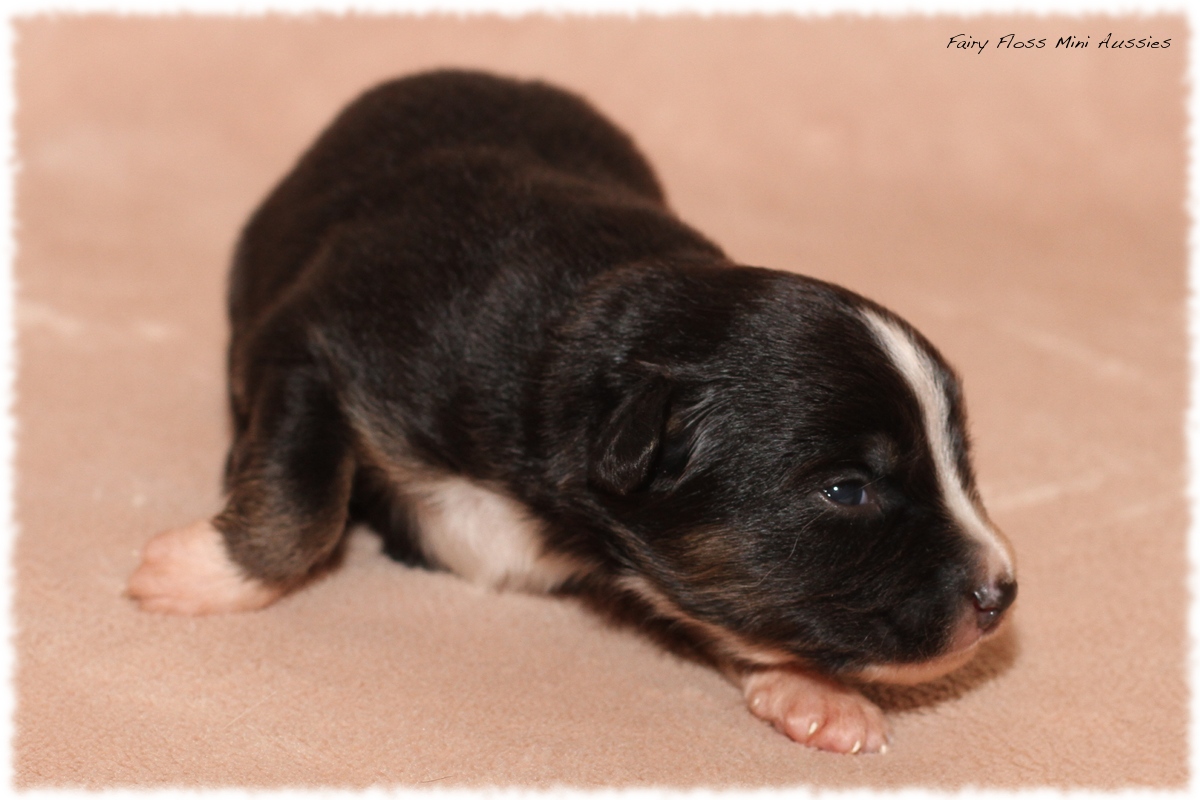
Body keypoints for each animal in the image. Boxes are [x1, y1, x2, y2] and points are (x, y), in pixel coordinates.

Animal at [129, 70, 1012, 758]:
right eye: (847, 491)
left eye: (961, 461)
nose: (1001, 593)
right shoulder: (310, 339)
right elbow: (304, 496)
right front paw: (195, 572)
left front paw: (811, 692)